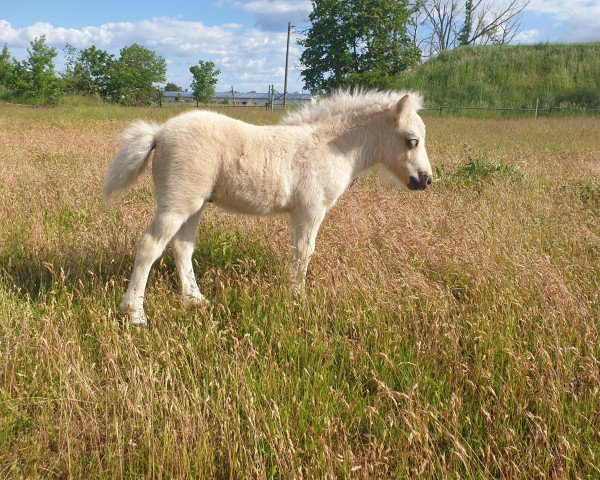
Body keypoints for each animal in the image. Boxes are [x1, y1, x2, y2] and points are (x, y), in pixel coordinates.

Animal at [102, 89, 432, 326]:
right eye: (411, 141)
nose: (425, 179)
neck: (330, 146)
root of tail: (158, 133)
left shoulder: (301, 213)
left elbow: (297, 251)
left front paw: (292, 293)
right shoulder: (311, 210)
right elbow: (304, 251)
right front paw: (298, 300)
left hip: (194, 206)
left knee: (182, 247)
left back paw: (195, 299)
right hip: (177, 203)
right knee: (150, 245)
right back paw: (135, 314)